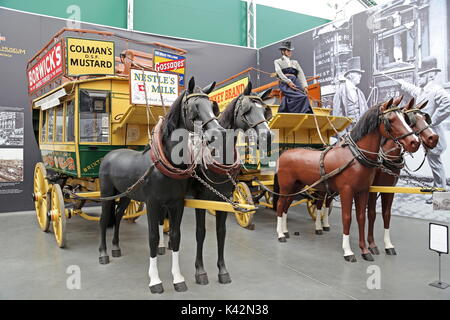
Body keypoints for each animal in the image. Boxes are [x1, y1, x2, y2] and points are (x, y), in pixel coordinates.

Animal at [98, 77, 225, 292]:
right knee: (104, 219)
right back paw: (103, 254)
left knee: (118, 215)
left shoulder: (176, 204)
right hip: (107, 194)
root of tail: (110, 154)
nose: (218, 134)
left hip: (126, 196)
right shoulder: (152, 204)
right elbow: (153, 238)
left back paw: (116, 247)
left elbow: (175, 236)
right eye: (194, 107)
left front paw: (178, 278)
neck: (165, 162)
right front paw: (155, 280)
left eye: (212, 106)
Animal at [188, 82, 272, 284]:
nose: (268, 137)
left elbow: (221, 232)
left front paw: (222, 270)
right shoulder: (200, 200)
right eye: (247, 109)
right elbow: (200, 232)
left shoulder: (224, 199)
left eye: (265, 111)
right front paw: (200, 271)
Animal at [276, 98, 420, 262]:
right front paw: (348, 251)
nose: (415, 142)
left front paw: (365, 250)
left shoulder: (363, 191)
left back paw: (285, 231)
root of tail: (285, 153)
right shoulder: (347, 191)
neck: (355, 157)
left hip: (297, 186)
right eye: (390, 120)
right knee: (280, 205)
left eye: (405, 118)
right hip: (286, 186)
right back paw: (280, 234)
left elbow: (361, 217)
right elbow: (347, 218)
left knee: (286, 205)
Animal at [368, 99, 438, 256]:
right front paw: (371, 244)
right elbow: (371, 214)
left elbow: (386, 214)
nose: (434, 138)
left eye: (425, 118)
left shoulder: (389, 189)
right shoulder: (372, 189)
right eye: (411, 120)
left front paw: (388, 245)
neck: (386, 157)